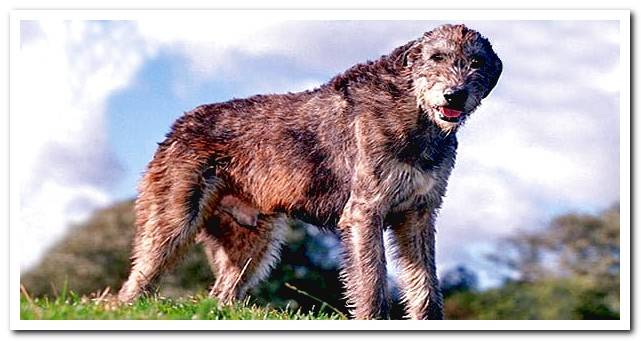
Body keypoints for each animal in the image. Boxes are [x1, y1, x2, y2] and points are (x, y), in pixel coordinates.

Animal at [117, 24, 502, 318]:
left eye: (476, 62)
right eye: (437, 57)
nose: (454, 95)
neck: (414, 113)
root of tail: (178, 125)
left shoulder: (418, 215)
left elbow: (425, 286)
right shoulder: (365, 212)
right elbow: (372, 281)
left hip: (251, 241)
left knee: (221, 292)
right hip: (173, 219)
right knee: (136, 280)